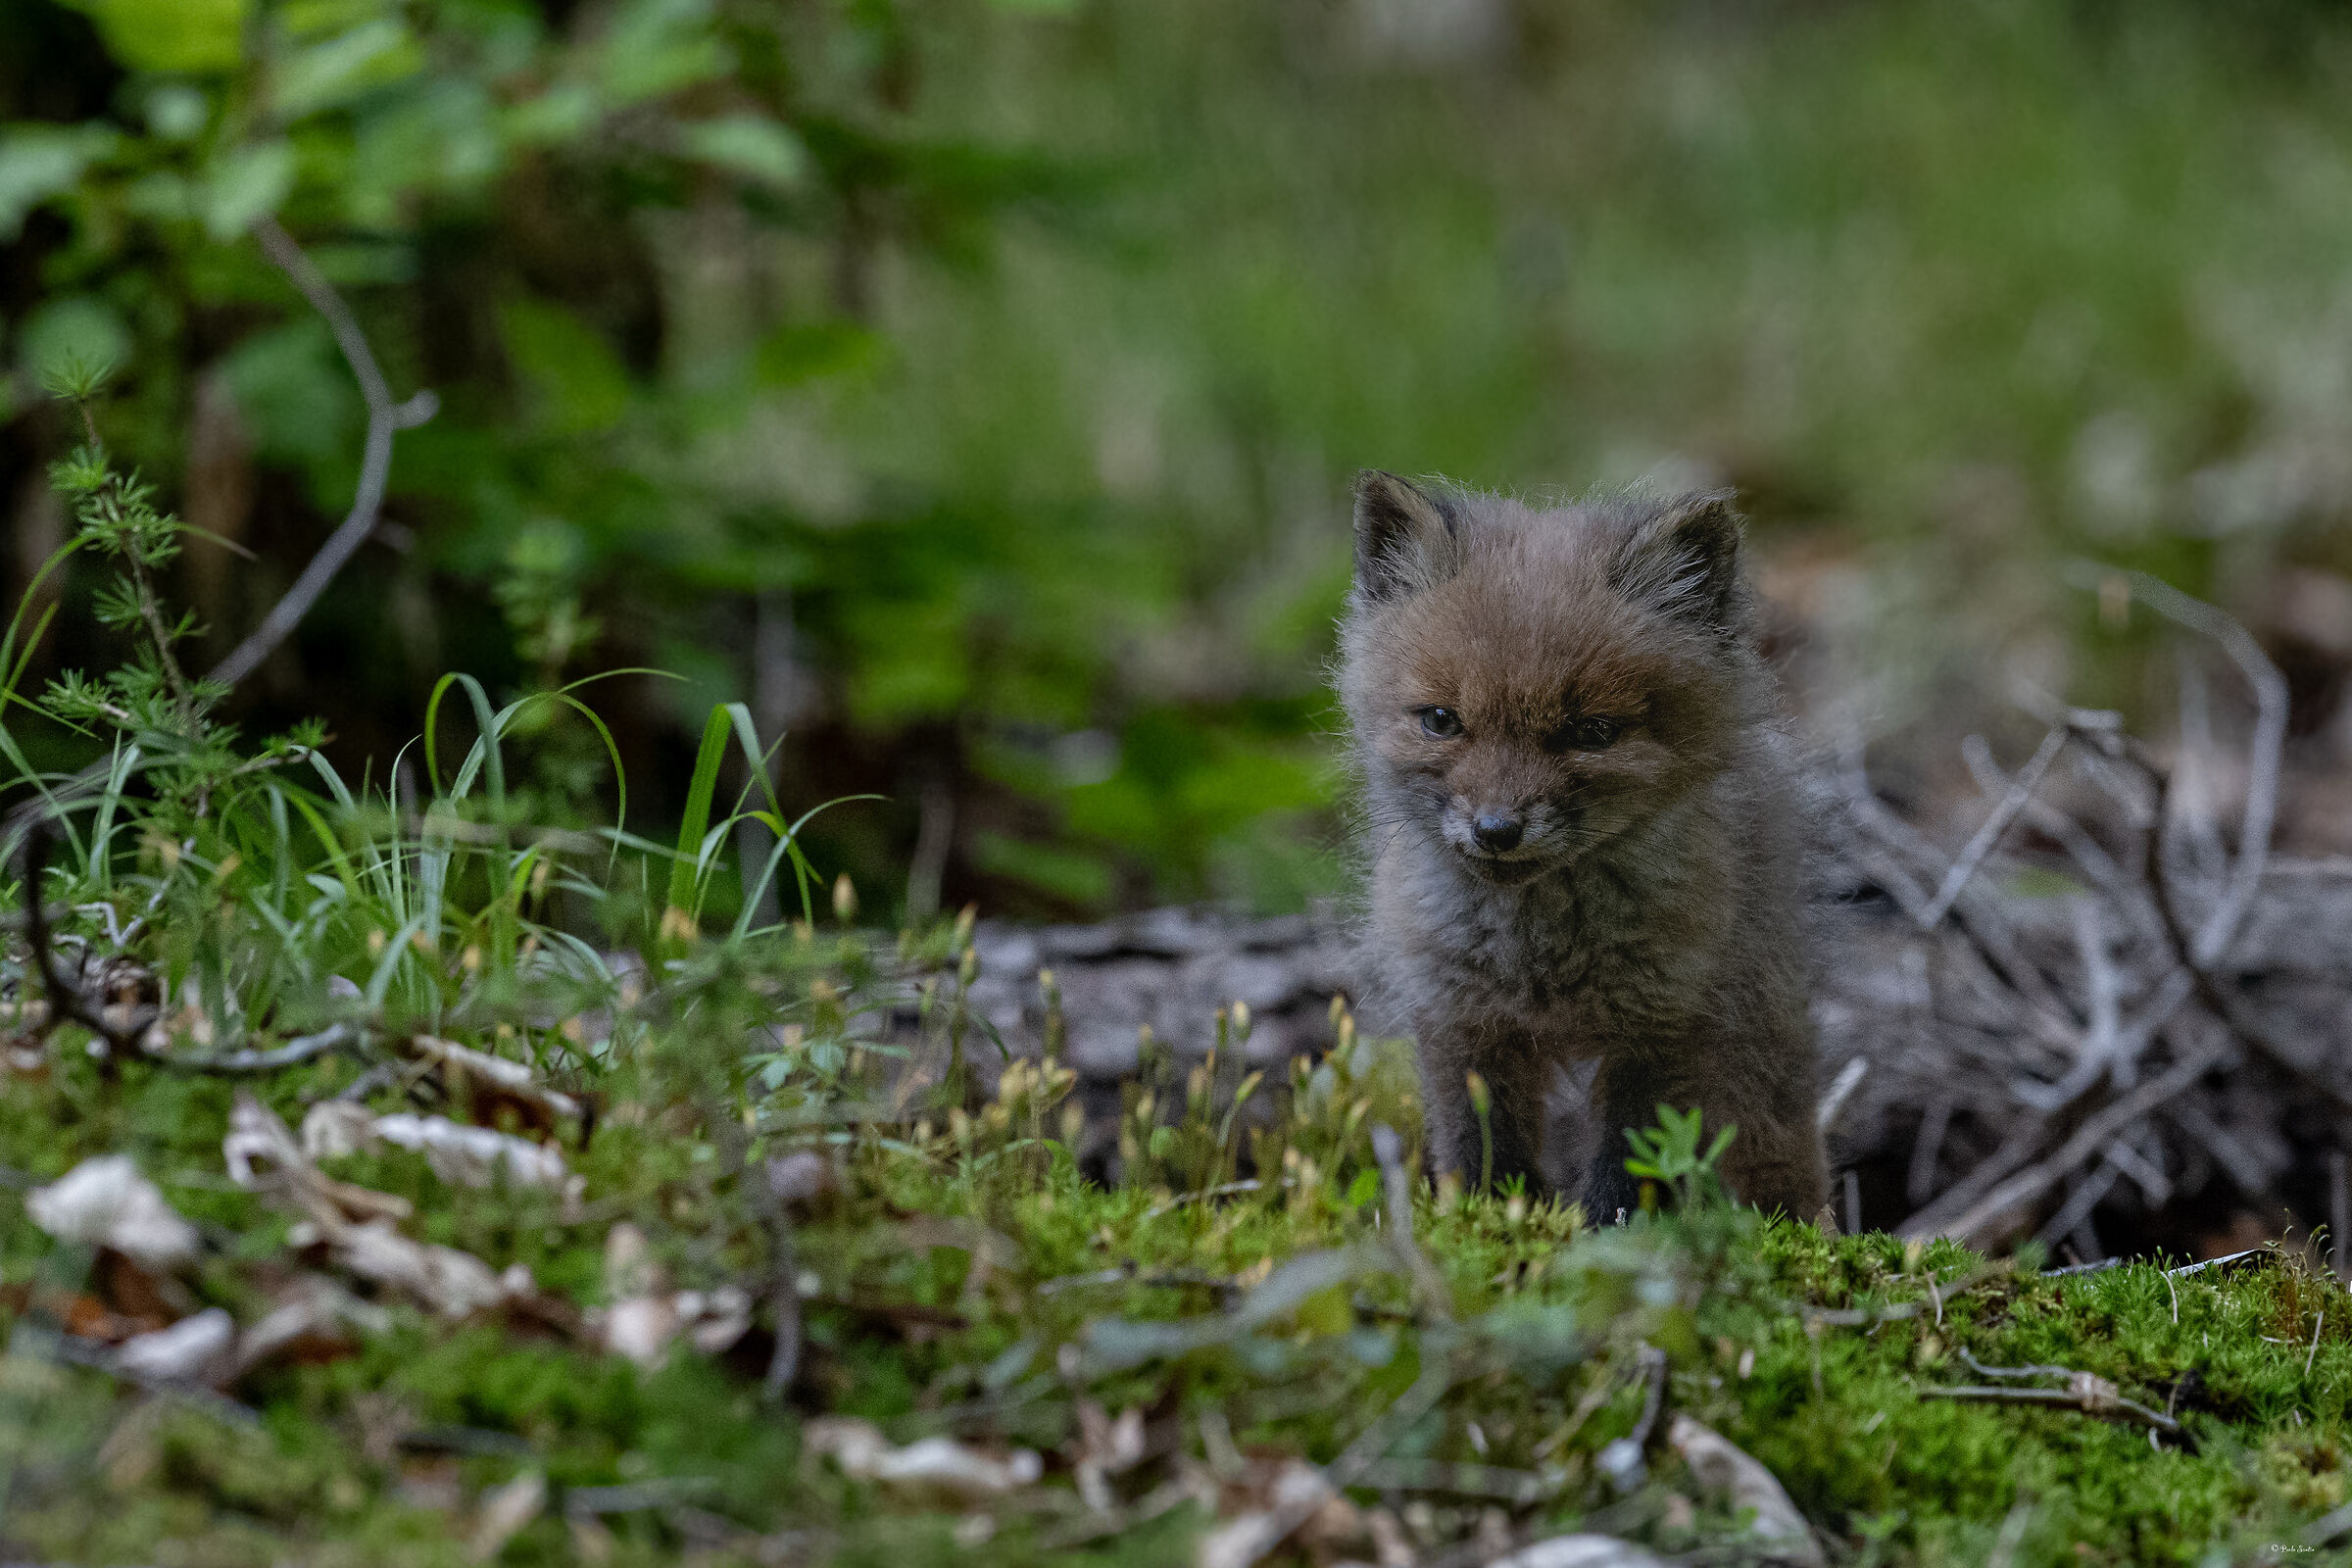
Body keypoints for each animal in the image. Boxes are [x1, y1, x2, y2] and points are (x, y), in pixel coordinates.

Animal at [1337, 470, 1827, 1223]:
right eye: (1442, 721)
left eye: (1591, 732)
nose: (1497, 830)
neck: (1540, 956)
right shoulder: (1461, 1021)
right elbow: (1481, 1147)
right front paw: (1485, 1220)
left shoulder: (1664, 1026)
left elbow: (1632, 1166)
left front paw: (1611, 1237)